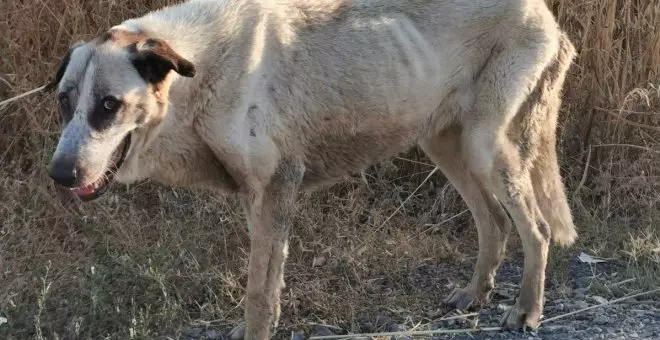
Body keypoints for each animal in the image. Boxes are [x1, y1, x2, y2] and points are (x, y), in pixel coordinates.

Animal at [43, 1, 576, 338]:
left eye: (109, 105)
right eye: (65, 101)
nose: (59, 176)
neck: (195, 79)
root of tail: (543, 12)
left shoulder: (276, 188)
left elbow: (259, 291)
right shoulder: (258, 197)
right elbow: (266, 280)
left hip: (487, 147)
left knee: (536, 228)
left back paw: (526, 311)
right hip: (445, 144)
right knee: (495, 221)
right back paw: (475, 293)